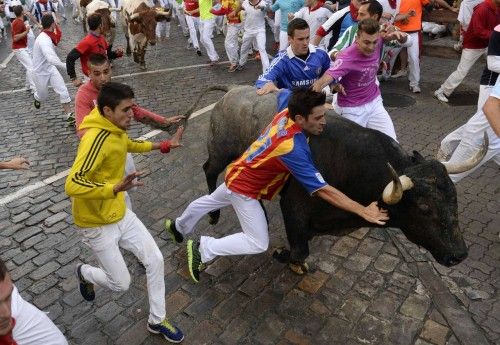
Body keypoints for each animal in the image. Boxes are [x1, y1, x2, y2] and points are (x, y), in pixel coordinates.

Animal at [182, 86, 486, 274]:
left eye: (455, 200)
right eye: (424, 208)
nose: (459, 254)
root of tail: (232, 90)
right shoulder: (294, 207)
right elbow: (299, 251)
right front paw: (285, 257)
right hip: (220, 150)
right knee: (209, 169)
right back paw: (212, 217)